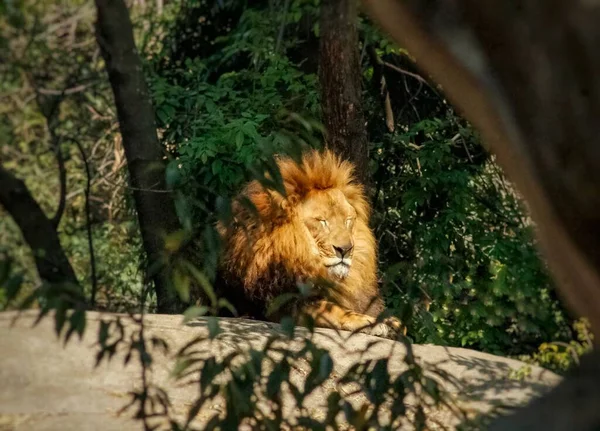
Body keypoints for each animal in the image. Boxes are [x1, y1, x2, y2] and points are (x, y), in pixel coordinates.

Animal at [216, 150, 404, 340]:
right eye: (322, 221)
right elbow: (332, 309)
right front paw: (371, 322)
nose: (345, 249)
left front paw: (391, 322)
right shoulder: (282, 305)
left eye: (348, 220)